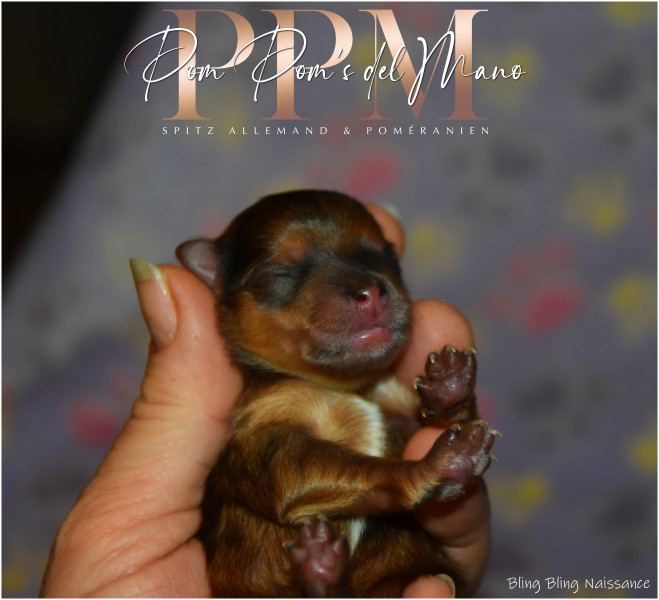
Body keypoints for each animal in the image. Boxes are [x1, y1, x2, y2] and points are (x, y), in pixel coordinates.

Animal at [175, 190, 498, 597]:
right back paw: (322, 567)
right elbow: (332, 467)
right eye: (277, 273)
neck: (345, 388)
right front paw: (434, 467)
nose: (371, 290)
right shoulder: (262, 436)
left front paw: (448, 388)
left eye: (387, 257)